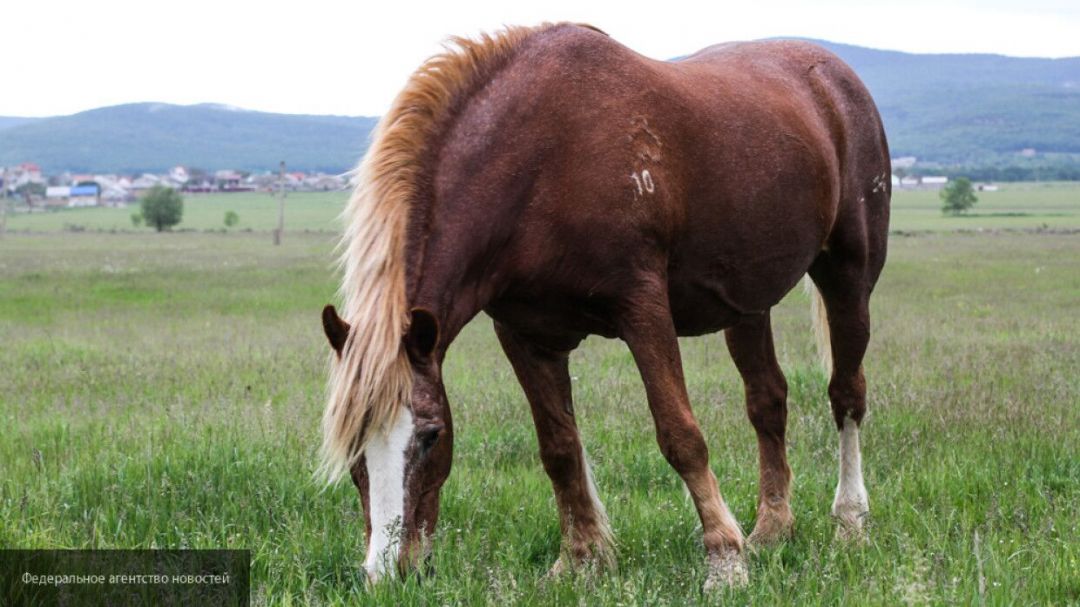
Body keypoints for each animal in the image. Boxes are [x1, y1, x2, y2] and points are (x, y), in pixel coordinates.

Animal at [315, 21, 889, 587]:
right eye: (353, 448)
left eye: (432, 436)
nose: (387, 573)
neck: (541, 162)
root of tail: (835, 79)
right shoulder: (525, 335)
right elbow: (559, 448)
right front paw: (580, 558)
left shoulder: (643, 309)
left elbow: (680, 435)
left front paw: (724, 561)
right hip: (747, 306)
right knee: (768, 401)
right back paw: (772, 530)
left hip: (848, 276)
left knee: (846, 395)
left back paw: (850, 523)